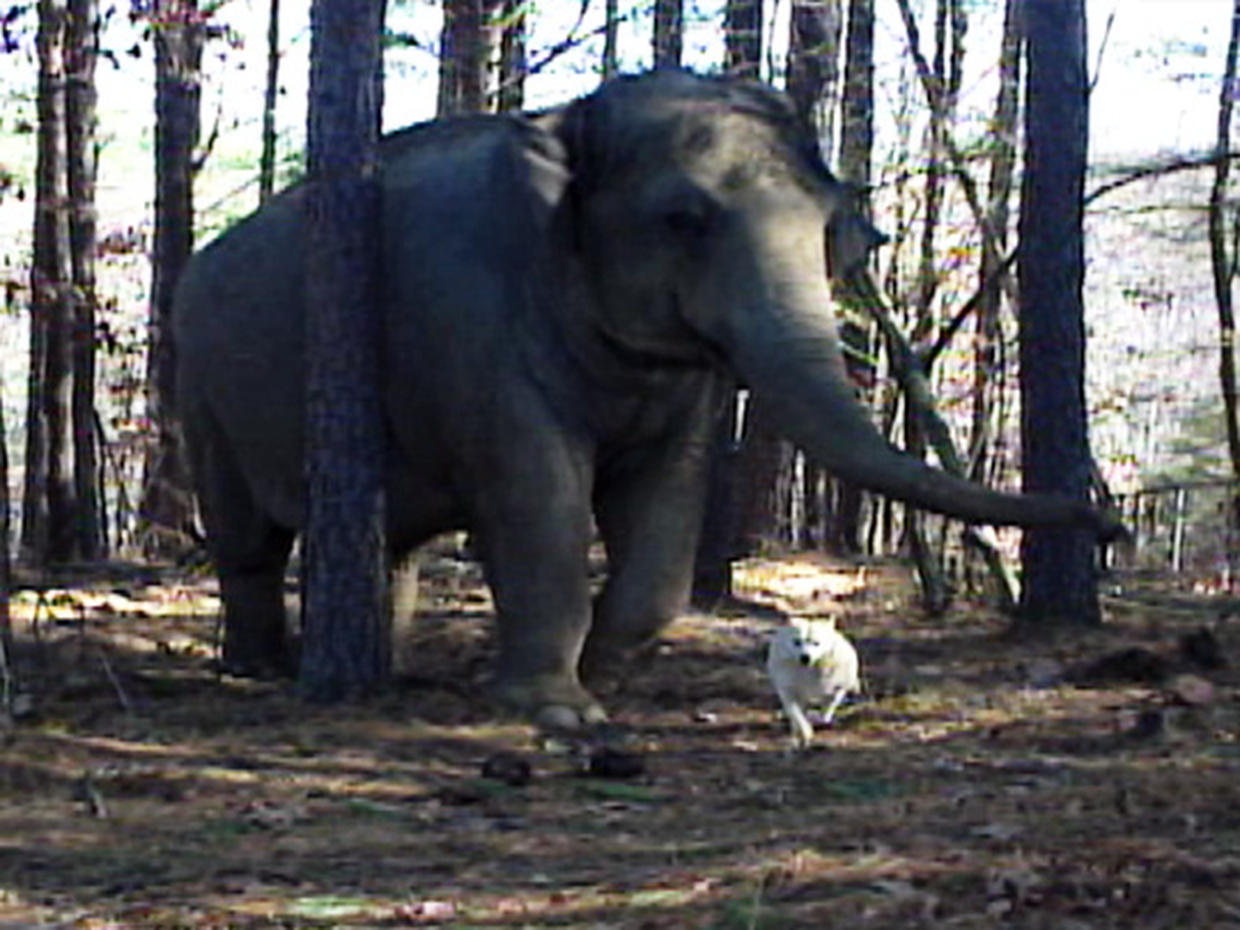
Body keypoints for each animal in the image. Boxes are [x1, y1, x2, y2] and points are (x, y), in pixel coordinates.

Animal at [177, 69, 1125, 734]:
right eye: (684, 219)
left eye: (830, 224)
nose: (1111, 521)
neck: (567, 122)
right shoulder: (472, 323)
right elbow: (538, 502)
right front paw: (558, 711)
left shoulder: (683, 384)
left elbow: (668, 514)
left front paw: (600, 679)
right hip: (199, 387)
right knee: (246, 540)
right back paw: (262, 669)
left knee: (391, 549)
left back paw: (389, 662)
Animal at [763, 620, 863, 748]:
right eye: (797, 641)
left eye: (816, 643)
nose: (805, 657)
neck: (810, 670)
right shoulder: (788, 689)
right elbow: (795, 712)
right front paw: (805, 731)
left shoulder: (837, 687)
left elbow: (828, 708)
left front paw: (821, 719)